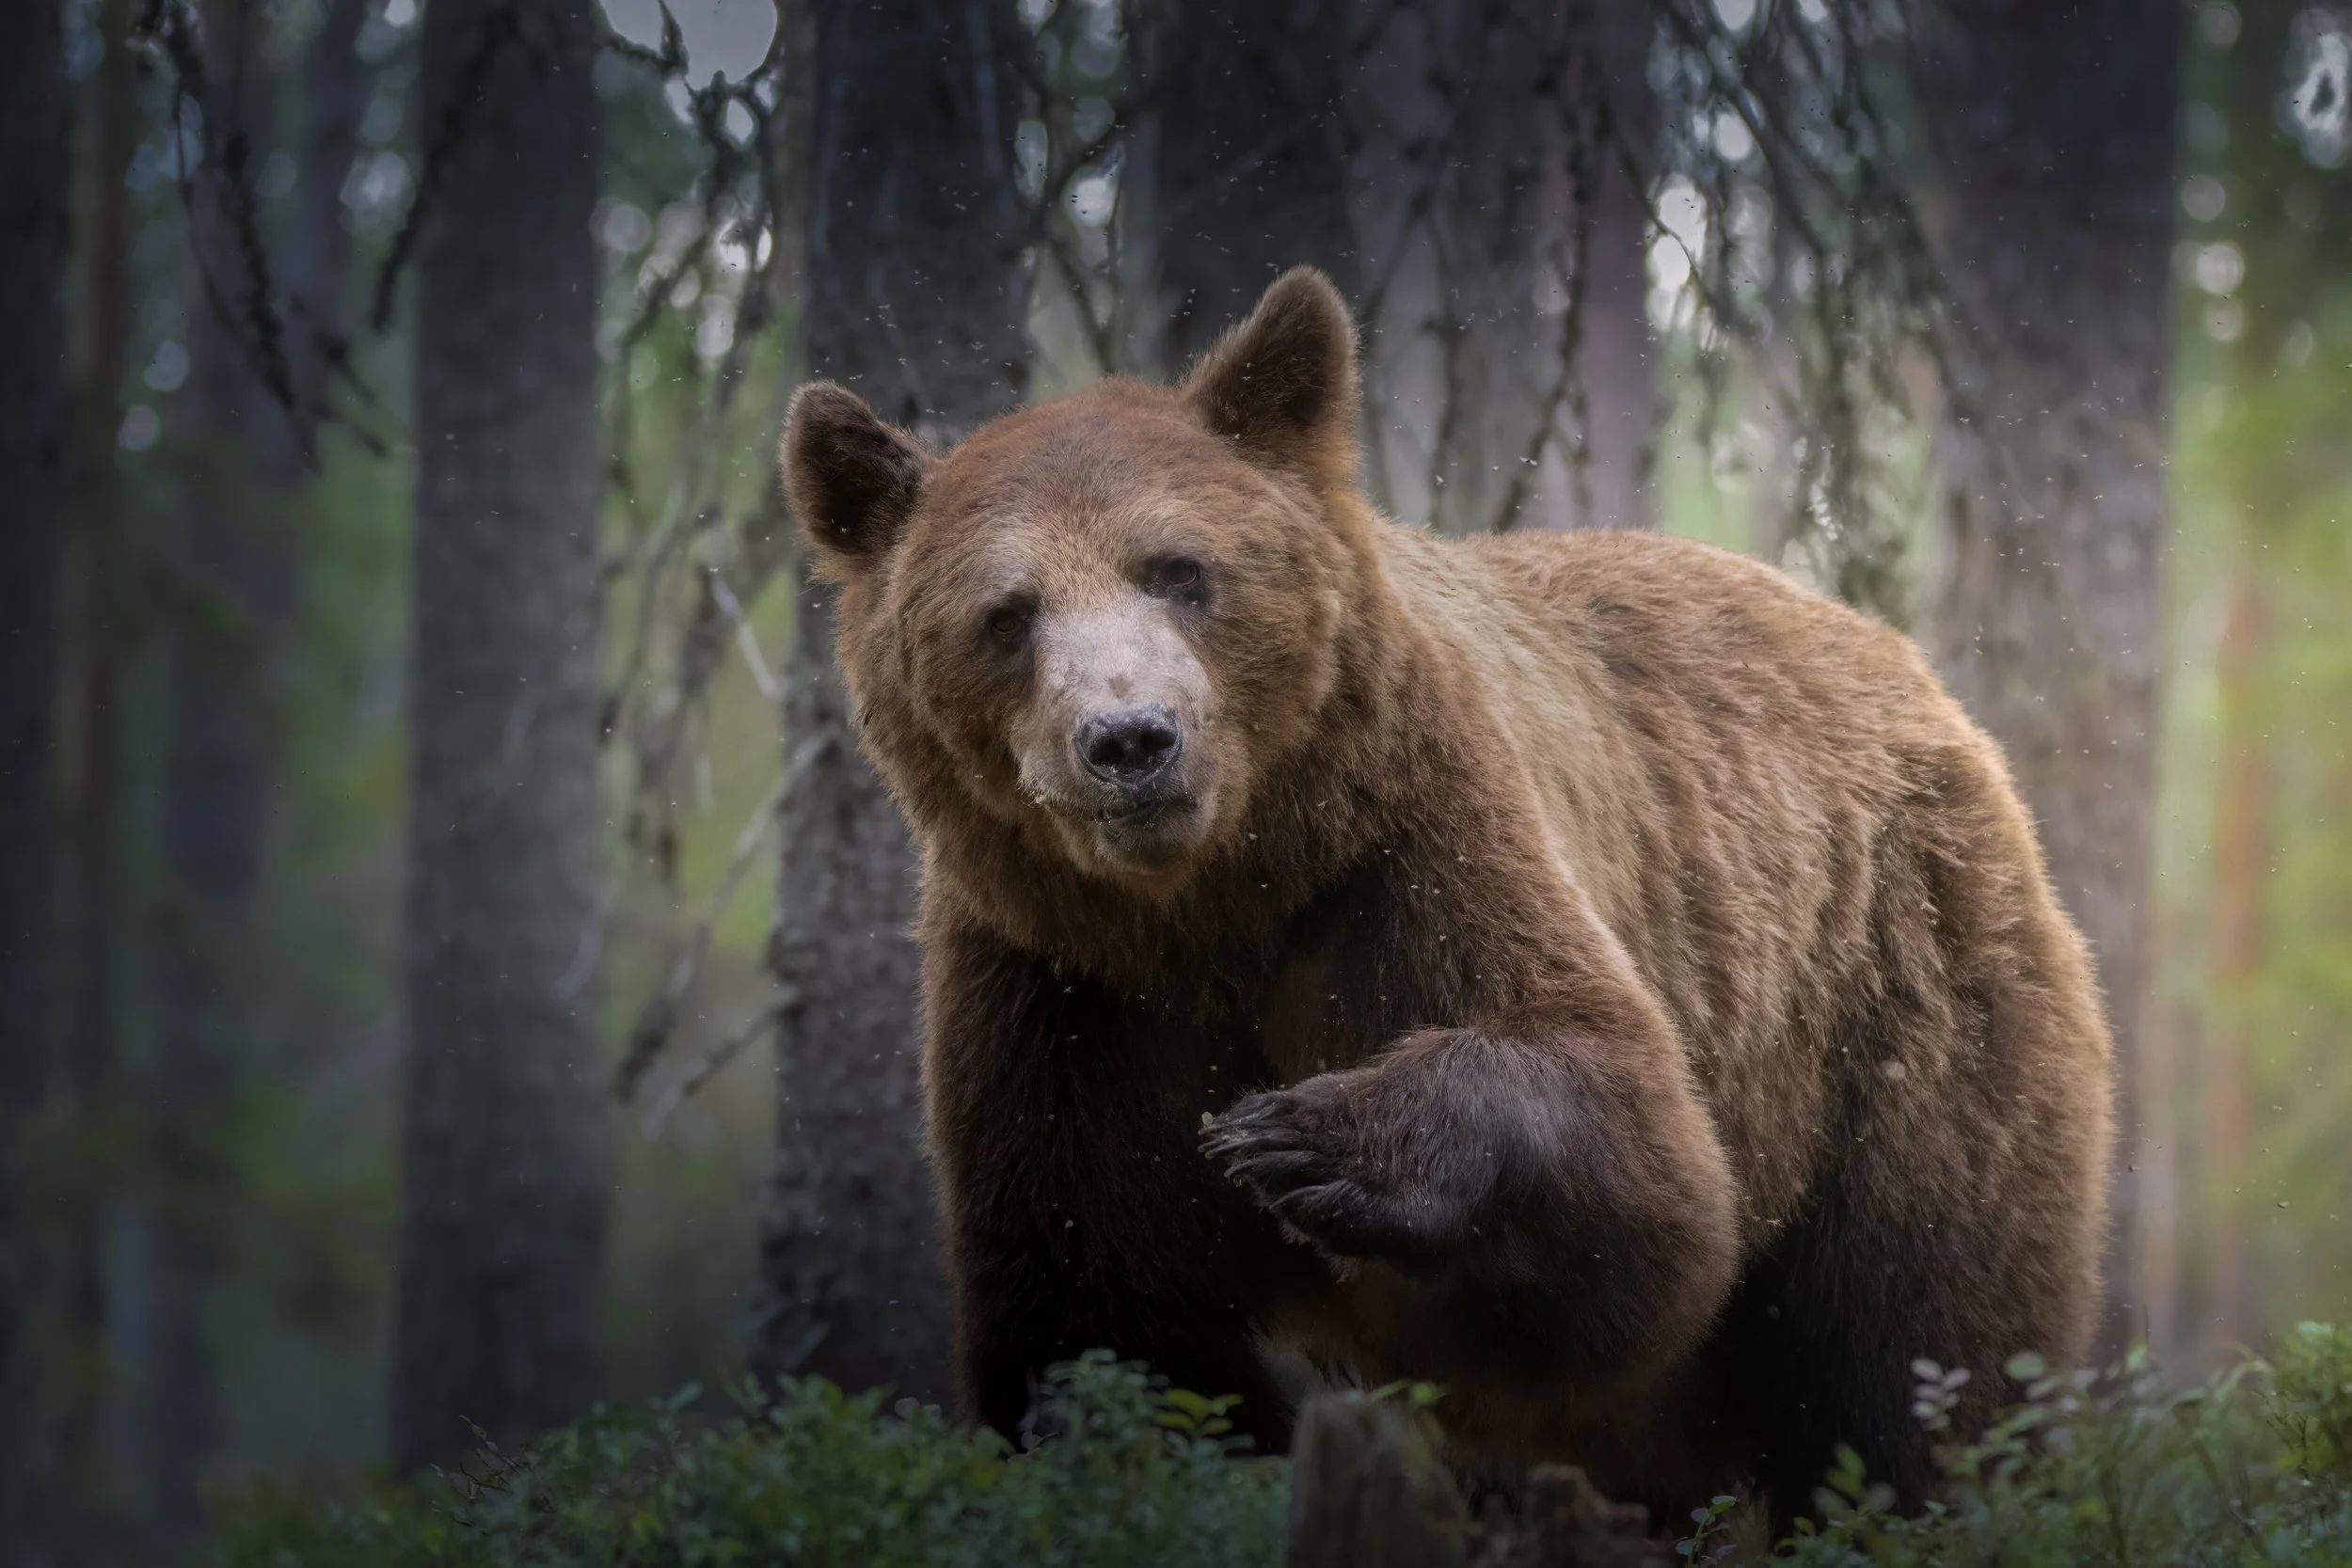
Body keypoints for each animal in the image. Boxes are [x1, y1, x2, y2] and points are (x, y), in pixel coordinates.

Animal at [777, 267, 2113, 1530]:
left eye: (1181, 570)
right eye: (1006, 614)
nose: (1130, 740)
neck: (1212, 908)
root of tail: (1913, 670)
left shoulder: (1404, 853)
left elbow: (1636, 1167)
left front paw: (1304, 1139)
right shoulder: (1058, 987)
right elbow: (1100, 1313)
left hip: (1897, 1002)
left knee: (1921, 1339)